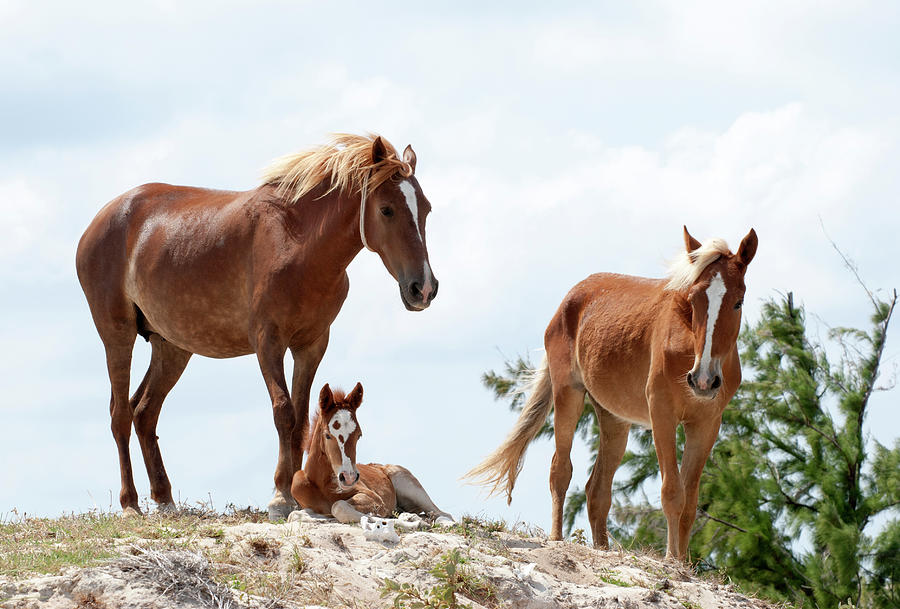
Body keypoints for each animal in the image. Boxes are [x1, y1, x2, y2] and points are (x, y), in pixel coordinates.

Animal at [77, 133, 436, 516]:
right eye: (387, 209)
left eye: (426, 209)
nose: (424, 288)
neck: (299, 244)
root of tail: (98, 223)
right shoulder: (268, 342)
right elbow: (284, 412)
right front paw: (280, 496)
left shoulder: (311, 345)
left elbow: (301, 419)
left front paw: (293, 491)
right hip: (117, 335)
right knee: (119, 414)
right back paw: (130, 502)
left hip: (171, 346)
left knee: (144, 411)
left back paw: (165, 499)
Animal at [292, 384, 454, 524]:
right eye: (327, 435)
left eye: (359, 435)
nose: (349, 478)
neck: (322, 485)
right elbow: (295, 514)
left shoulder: (373, 497)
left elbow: (338, 506)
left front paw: (377, 518)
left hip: (409, 485)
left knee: (443, 514)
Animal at [468, 226, 756, 560]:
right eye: (694, 299)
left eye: (738, 302)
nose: (703, 381)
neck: (687, 346)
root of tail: (569, 299)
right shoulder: (662, 416)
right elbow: (672, 492)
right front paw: (672, 560)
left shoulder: (706, 424)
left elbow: (690, 500)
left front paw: (683, 563)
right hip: (568, 396)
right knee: (560, 471)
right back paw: (557, 539)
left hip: (614, 419)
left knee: (597, 491)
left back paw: (602, 547)